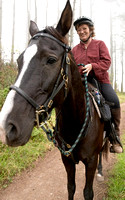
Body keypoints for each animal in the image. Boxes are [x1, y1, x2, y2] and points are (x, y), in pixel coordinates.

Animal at [0, 0, 106, 199]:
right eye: (19, 60)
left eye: (51, 60)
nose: (6, 127)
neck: (76, 122)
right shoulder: (67, 160)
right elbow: (71, 188)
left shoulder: (91, 161)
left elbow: (88, 192)